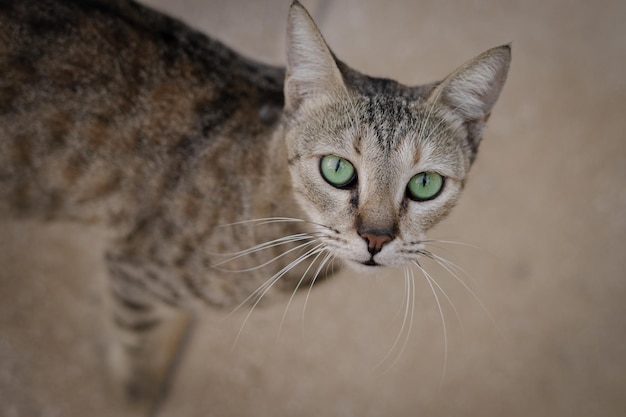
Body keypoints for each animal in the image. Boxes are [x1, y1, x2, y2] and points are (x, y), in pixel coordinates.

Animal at [0, 0, 508, 410]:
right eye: (337, 169)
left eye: (424, 184)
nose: (376, 238)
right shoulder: (133, 274)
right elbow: (136, 352)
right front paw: (139, 393)